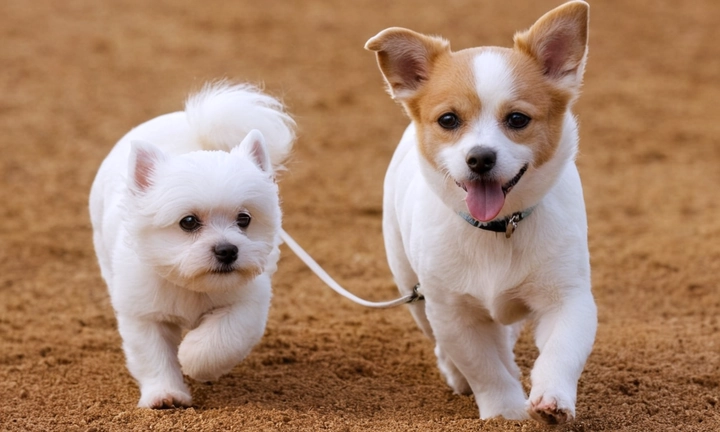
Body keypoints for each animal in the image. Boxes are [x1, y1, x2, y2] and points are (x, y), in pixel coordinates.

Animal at [89, 82, 292, 408]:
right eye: (188, 222)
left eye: (244, 219)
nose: (227, 251)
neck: (191, 283)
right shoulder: (144, 315)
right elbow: (154, 358)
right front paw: (165, 395)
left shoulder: (248, 302)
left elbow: (222, 339)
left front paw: (192, 357)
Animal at [366, 0, 596, 426]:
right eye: (448, 120)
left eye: (517, 119)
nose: (480, 158)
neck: (498, 229)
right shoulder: (453, 315)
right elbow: (485, 369)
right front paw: (505, 412)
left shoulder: (567, 299)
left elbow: (561, 352)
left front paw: (552, 399)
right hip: (413, 292)